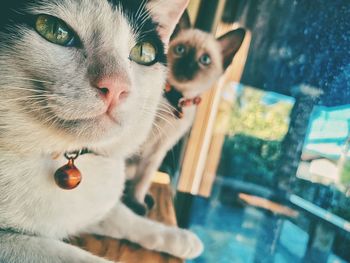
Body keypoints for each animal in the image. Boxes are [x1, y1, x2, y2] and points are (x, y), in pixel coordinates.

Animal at [0, 1, 205, 262]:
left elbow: (122, 215)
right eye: (54, 29)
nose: (116, 86)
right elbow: (67, 254)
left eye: (143, 52)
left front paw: (178, 237)